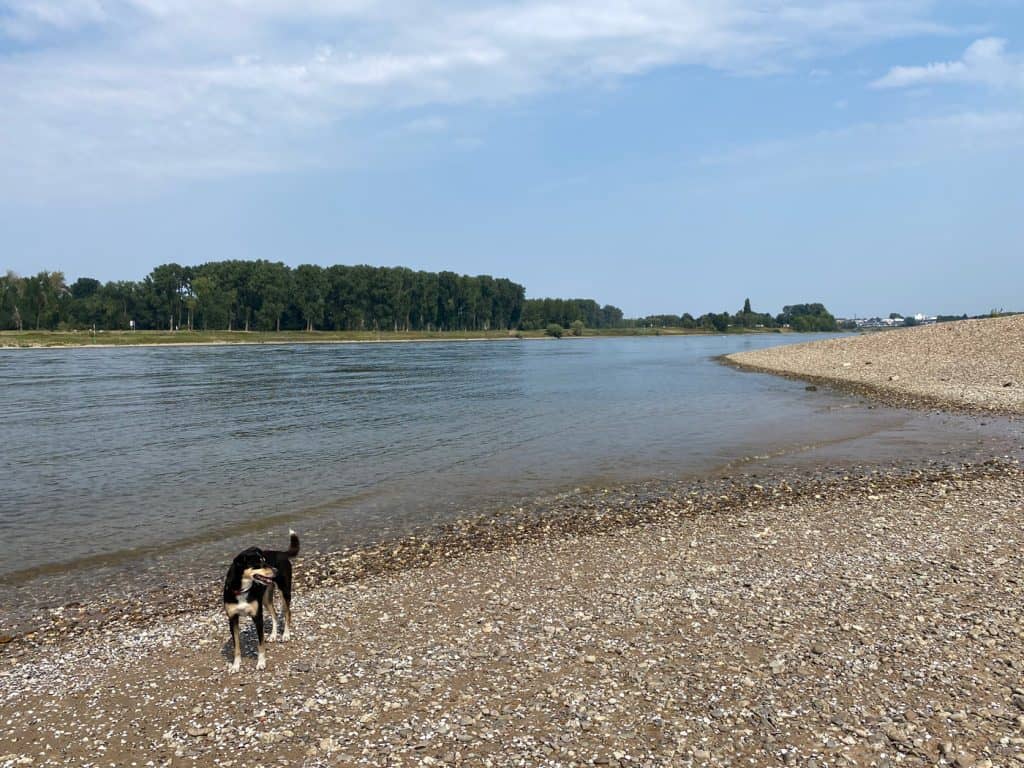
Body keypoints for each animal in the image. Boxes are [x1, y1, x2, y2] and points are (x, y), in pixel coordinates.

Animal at [224, 528, 299, 671]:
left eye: (265, 560)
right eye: (258, 563)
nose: (276, 570)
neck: (243, 589)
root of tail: (281, 553)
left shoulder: (257, 617)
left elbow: (260, 645)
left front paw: (261, 662)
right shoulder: (232, 619)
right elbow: (236, 646)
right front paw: (236, 665)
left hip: (285, 591)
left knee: (287, 612)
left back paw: (286, 634)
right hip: (265, 598)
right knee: (275, 614)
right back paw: (274, 635)